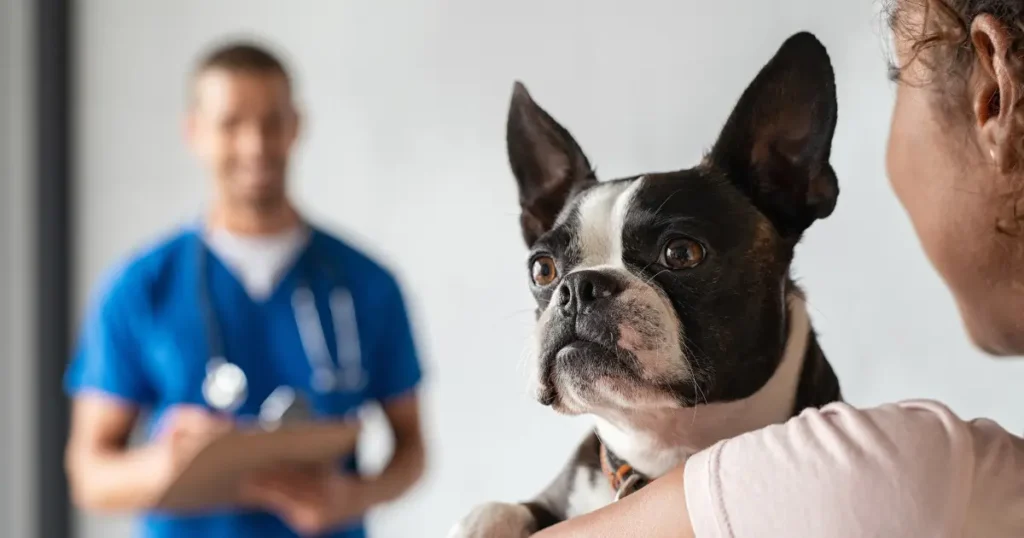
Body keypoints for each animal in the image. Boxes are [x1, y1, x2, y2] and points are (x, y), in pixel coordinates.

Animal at [452, 31, 843, 532]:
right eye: (543, 269)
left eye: (681, 253)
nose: (577, 288)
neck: (660, 451)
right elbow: (497, 507)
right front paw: (475, 525)